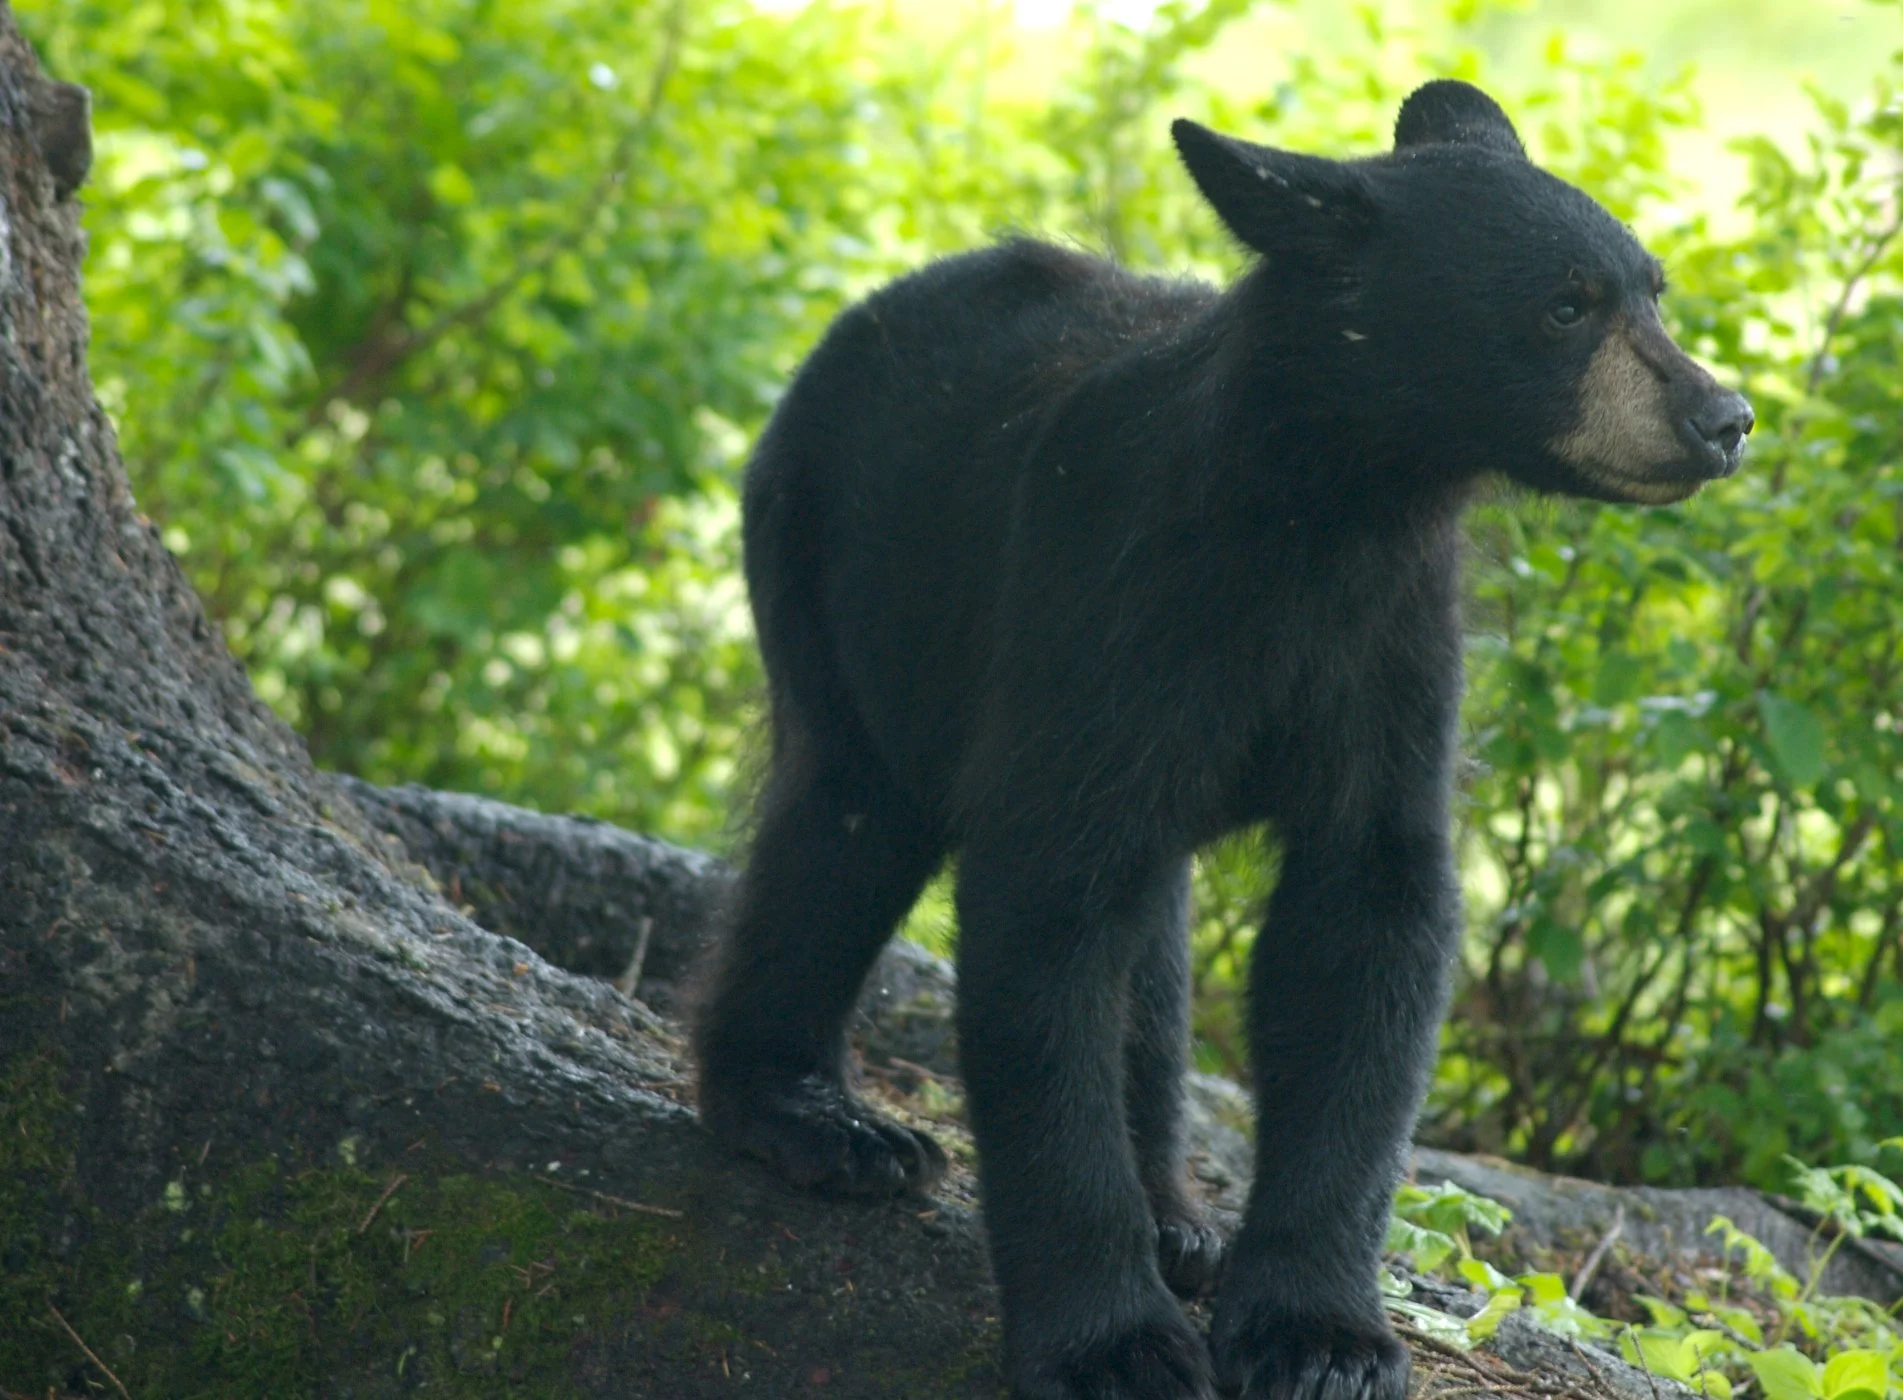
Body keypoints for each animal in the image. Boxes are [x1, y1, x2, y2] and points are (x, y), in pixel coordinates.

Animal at [695, 79, 1751, 1400]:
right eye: (1566, 305)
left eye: (1651, 286)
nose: (1723, 416)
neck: (1323, 516)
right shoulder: (1112, 610)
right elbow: (1045, 930)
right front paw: (1111, 1342)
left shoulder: (1391, 650)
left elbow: (1365, 926)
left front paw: (1319, 1332)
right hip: (836, 575)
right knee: (842, 825)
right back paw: (814, 1119)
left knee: (1145, 948)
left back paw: (1175, 1212)